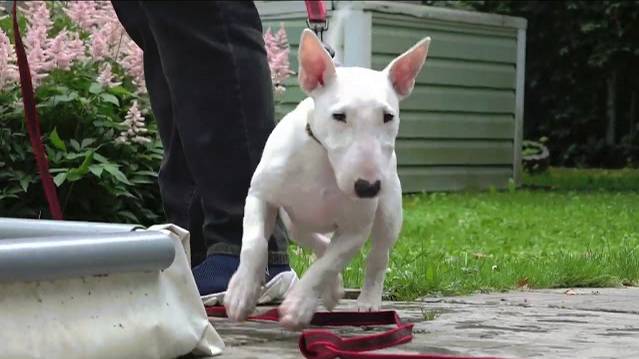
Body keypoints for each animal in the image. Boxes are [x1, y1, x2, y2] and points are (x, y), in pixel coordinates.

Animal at [224, 31, 430, 332]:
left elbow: (327, 265)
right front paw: (241, 294)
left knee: (377, 255)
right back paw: (333, 290)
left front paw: (299, 305)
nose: (367, 188)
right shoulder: (261, 196)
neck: (324, 163)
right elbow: (254, 244)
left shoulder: (356, 229)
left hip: (390, 212)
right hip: (294, 221)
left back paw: (367, 299)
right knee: (317, 241)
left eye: (388, 116)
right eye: (339, 116)